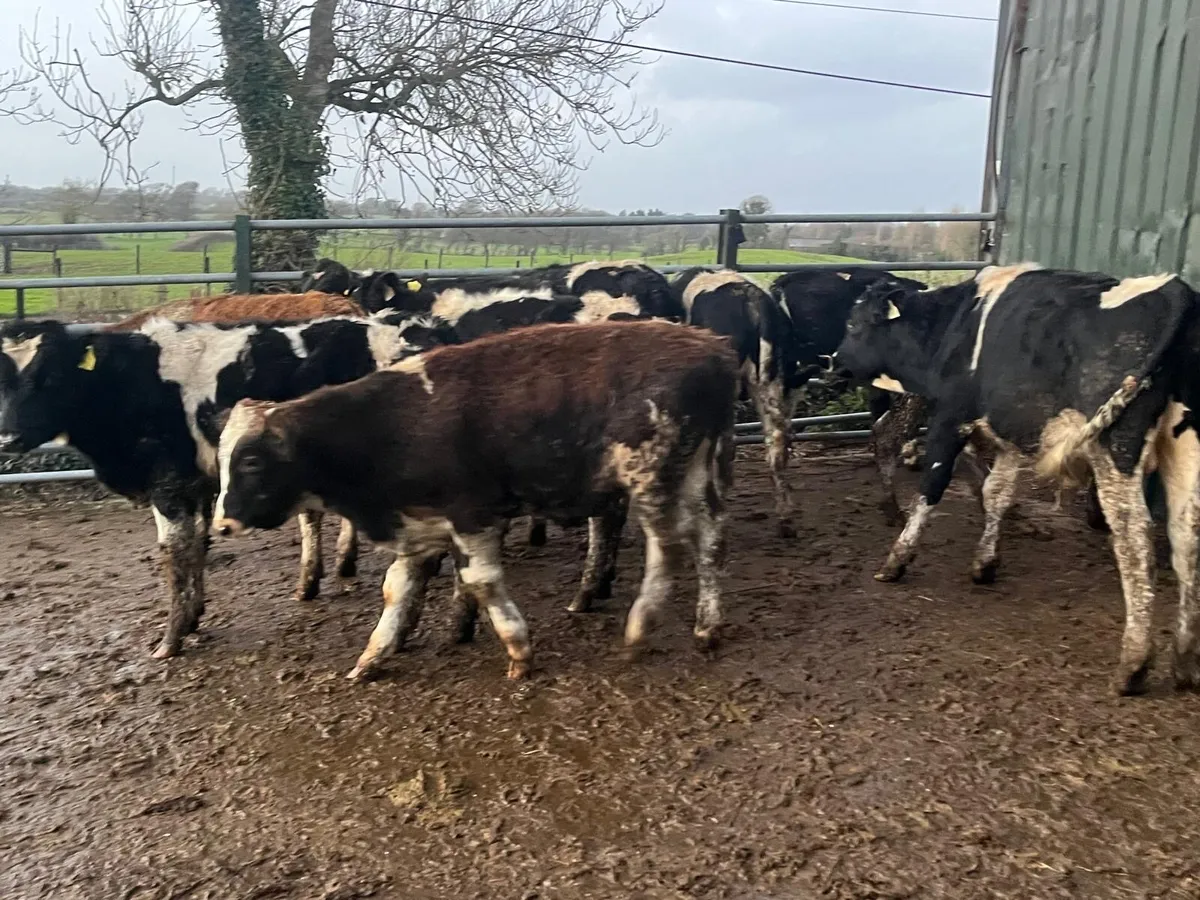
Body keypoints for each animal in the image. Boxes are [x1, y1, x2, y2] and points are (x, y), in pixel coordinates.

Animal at [0, 314, 452, 659]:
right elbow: (198, 548)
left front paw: (171, 640)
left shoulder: (169, 486)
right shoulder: (198, 485)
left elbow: (175, 556)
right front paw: (194, 618)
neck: (133, 384)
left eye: (50, 377)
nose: (8, 438)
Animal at [211, 320, 739, 681]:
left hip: (651, 481)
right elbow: (396, 590)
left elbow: (481, 583)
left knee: (669, 550)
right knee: (711, 542)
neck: (389, 425)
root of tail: (712, 348)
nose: (222, 524)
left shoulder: (472, 516)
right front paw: (372, 656)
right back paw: (708, 628)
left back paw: (640, 628)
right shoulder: (420, 525)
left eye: (252, 461)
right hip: (697, 476)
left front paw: (520, 652)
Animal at [833, 263, 1200, 696]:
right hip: (1187, 448)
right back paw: (1184, 661)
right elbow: (997, 493)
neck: (954, 321)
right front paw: (985, 562)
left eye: (854, 324)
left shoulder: (950, 417)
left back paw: (1134, 665)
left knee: (1134, 538)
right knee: (1187, 540)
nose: (835, 361)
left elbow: (932, 488)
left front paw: (897, 560)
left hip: (1116, 446)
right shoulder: (1006, 433)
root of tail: (1177, 291)